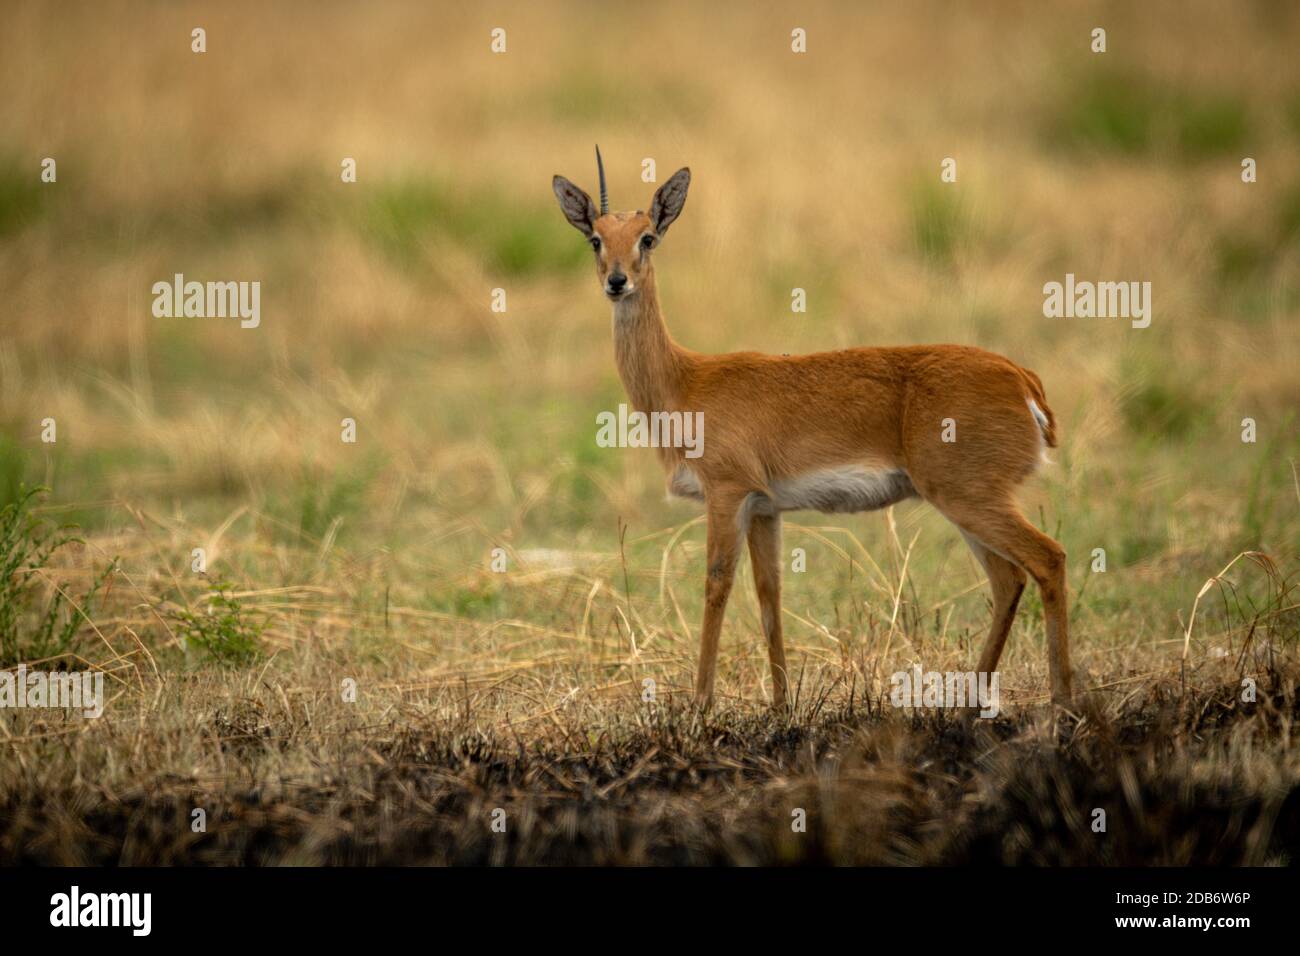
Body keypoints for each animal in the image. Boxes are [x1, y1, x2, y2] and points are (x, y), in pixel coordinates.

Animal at [553, 149, 1071, 712]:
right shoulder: (765, 509)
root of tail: (1023, 379)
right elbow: (769, 593)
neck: (685, 382)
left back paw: (1064, 701)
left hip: (968, 497)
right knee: (1008, 580)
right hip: (967, 504)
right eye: (596, 237)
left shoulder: (727, 493)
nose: (617, 281)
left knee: (1049, 559)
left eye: (647, 237)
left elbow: (717, 585)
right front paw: (782, 706)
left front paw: (700, 706)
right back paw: (971, 704)